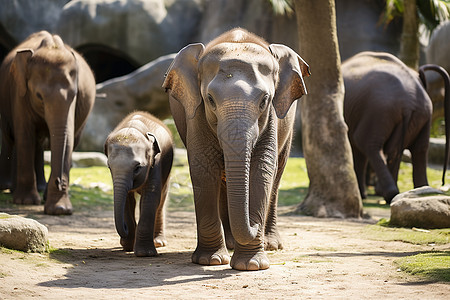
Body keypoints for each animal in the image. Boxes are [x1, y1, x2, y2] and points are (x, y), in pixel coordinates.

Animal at [105, 111, 174, 256]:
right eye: (109, 167)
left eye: (137, 168)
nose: (124, 228)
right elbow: (127, 201)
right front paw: (128, 246)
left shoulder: (156, 162)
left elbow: (150, 197)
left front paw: (145, 253)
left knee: (161, 200)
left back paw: (158, 242)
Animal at [162, 28, 310, 272]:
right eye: (210, 99)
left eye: (264, 100)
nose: (254, 221)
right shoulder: (196, 113)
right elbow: (203, 168)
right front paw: (210, 261)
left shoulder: (271, 118)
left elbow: (262, 170)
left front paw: (251, 265)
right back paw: (230, 245)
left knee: (277, 177)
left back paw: (271, 244)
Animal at [342, 52, 450, 204]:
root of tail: (408, 101)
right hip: (423, 114)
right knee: (419, 149)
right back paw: (421, 191)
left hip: (379, 111)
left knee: (368, 144)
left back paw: (389, 194)